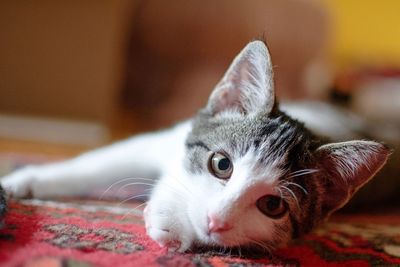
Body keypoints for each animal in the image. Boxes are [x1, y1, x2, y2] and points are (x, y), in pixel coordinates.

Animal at [0, 40, 390, 254]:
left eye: (273, 205)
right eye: (222, 164)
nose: (217, 220)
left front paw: (172, 221)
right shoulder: (165, 139)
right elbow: (99, 163)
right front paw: (20, 182)